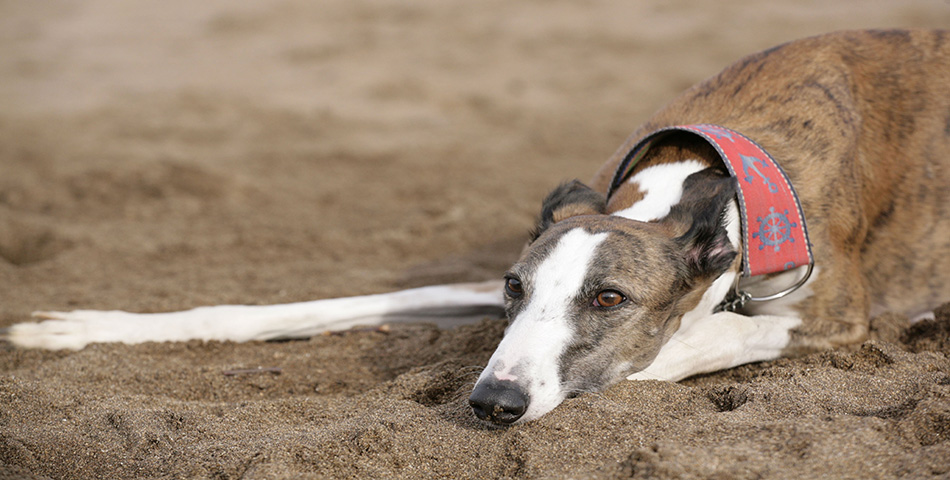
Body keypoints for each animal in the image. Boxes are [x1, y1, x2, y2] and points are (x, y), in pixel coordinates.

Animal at [3, 29, 948, 424]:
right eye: (515, 288)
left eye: (610, 299)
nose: (494, 404)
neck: (719, 171)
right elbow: (309, 305)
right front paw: (77, 328)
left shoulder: (833, 316)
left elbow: (665, 351)